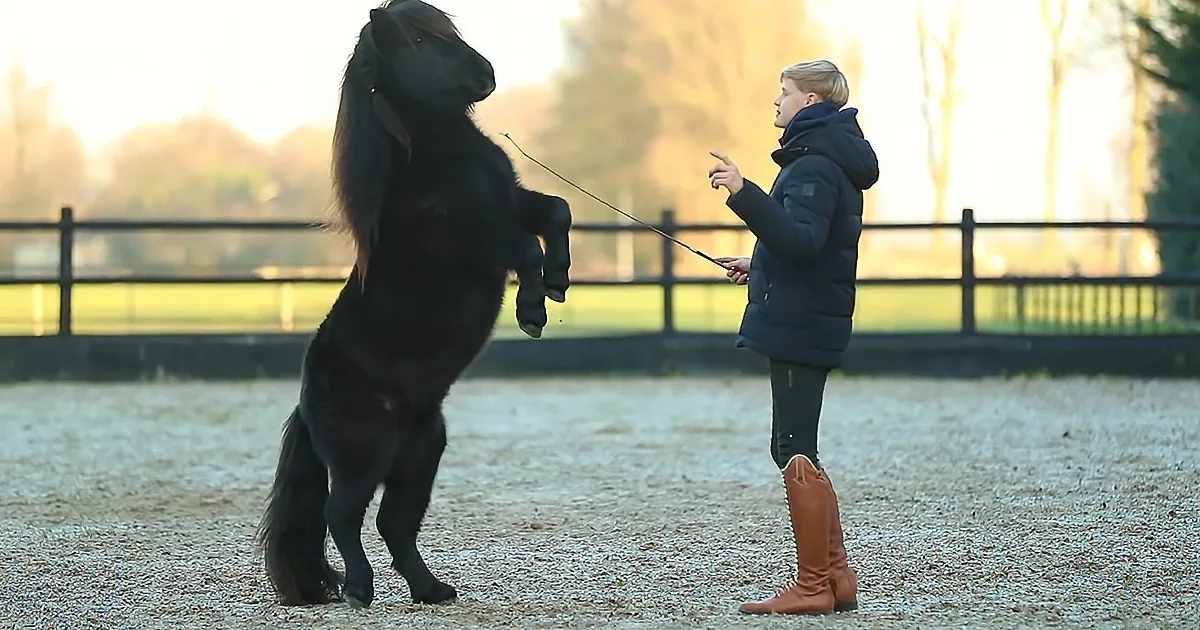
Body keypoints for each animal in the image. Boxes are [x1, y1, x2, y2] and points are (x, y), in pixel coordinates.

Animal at [253, 0, 573, 610]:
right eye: (420, 43)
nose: (486, 72)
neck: (436, 154)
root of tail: (306, 404)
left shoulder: (513, 201)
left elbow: (557, 211)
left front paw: (559, 281)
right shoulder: (478, 234)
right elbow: (526, 247)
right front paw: (532, 311)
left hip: (421, 450)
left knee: (394, 524)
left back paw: (431, 589)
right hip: (364, 454)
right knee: (342, 514)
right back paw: (358, 588)